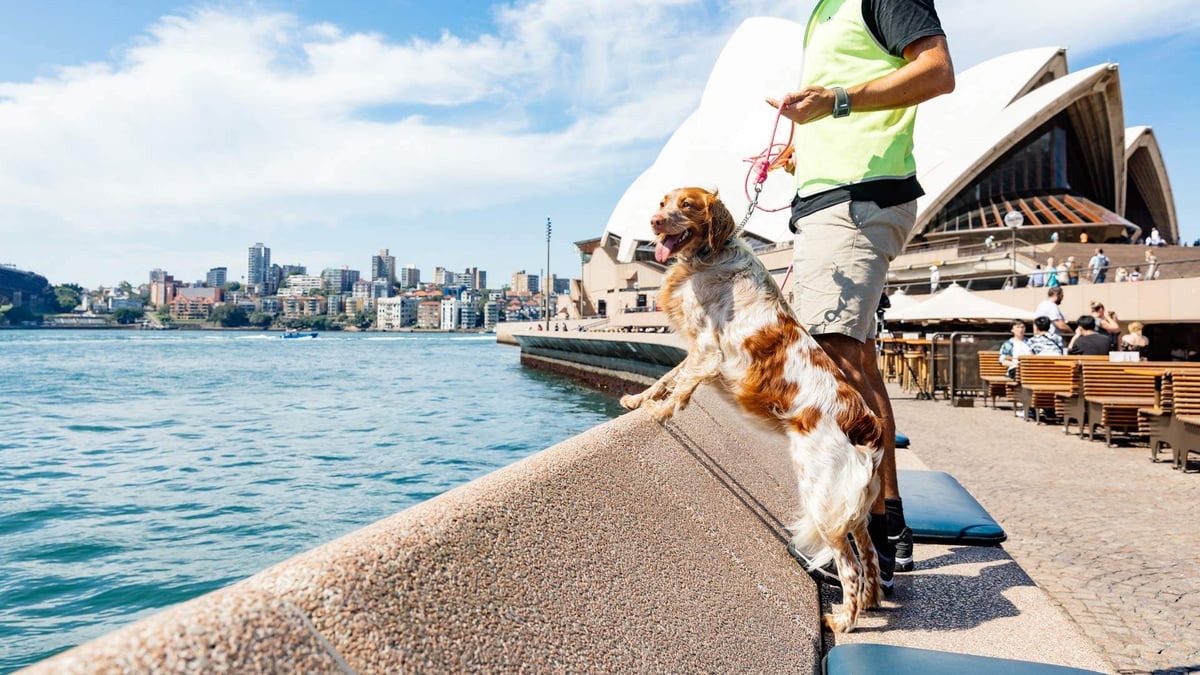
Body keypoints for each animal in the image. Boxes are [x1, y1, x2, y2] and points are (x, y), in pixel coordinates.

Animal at [624, 184, 888, 629]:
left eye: (687, 205)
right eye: (663, 203)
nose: (654, 222)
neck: (707, 259)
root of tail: (866, 423)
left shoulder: (708, 350)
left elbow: (679, 388)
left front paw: (659, 413)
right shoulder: (696, 351)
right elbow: (666, 379)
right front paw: (638, 400)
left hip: (822, 499)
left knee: (851, 566)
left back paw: (841, 621)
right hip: (851, 508)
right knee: (869, 557)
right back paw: (868, 606)